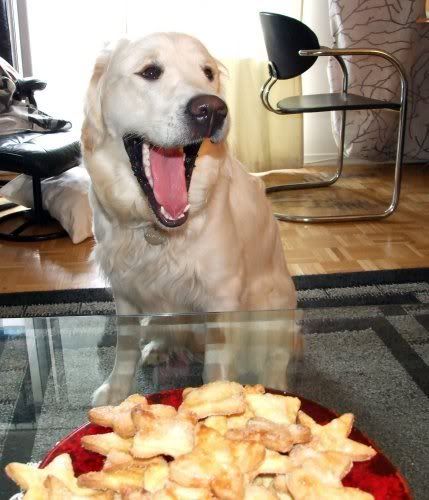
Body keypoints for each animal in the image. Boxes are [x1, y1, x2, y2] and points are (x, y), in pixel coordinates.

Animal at [82, 33, 297, 404]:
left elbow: (217, 365)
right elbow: (125, 346)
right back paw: (159, 347)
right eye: (150, 71)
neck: (156, 229)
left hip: (276, 306)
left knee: (276, 357)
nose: (211, 109)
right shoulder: (124, 289)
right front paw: (117, 391)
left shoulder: (221, 296)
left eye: (207, 72)